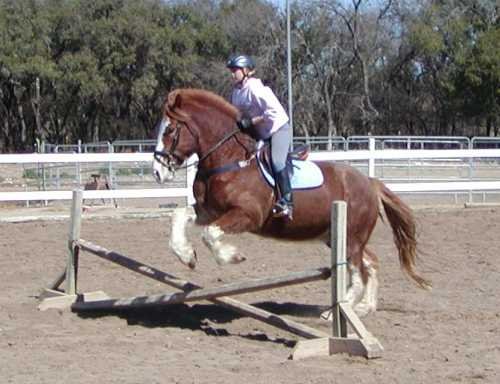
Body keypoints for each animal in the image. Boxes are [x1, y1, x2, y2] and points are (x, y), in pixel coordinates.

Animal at [151, 88, 430, 316]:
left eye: (169, 130)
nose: (158, 172)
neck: (230, 159)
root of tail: (370, 182)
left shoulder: (248, 215)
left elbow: (210, 234)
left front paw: (232, 256)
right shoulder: (209, 210)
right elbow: (179, 215)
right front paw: (186, 255)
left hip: (351, 238)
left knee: (358, 271)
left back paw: (336, 311)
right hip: (338, 237)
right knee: (370, 263)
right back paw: (364, 307)